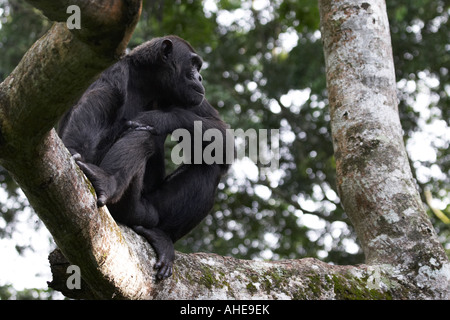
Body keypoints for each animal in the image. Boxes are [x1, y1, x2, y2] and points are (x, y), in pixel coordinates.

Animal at [58, 35, 230, 280]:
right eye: (193, 64)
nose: (199, 76)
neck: (148, 82)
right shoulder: (112, 71)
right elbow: (96, 105)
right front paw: (73, 149)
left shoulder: (188, 96)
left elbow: (222, 133)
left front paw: (159, 118)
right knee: (141, 136)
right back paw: (106, 180)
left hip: (151, 212)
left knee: (210, 163)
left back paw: (161, 237)